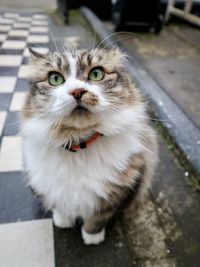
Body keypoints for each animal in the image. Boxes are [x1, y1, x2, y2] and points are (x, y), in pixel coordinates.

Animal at [20, 47, 158, 246]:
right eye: (55, 78)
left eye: (96, 74)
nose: (77, 91)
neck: (78, 145)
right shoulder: (53, 187)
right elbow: (60, 205)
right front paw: (63, 222)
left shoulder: (113, 196)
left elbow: (96, 219)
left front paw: (92, 238)